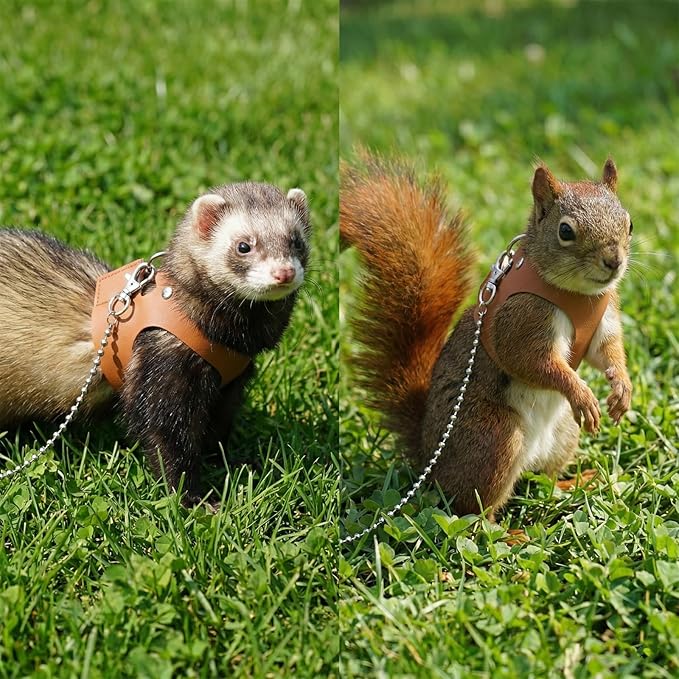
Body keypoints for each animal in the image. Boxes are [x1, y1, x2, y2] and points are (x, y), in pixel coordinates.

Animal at [0, 182, 310, 506]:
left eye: (296, 240)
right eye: (243, 246)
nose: (284, 272)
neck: (229, 342)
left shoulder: (231, 386)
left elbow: (218, 429)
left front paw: (236, 464)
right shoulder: (163, 370)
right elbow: (166, 438)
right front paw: (192, 499)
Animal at [341, 153, 633, 520]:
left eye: (629, 223)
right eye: (565, 231)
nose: (613, 261)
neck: (578, 296)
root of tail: (429, 458)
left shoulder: (604, 318)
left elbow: (607, 352)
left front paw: (622, 388)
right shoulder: (520, 320)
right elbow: (532, 362)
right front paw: (581, 393)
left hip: (564, 432)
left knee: (544, 478)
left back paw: (575, 483)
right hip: (495, 438)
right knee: (475, 508)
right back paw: (508, 531)